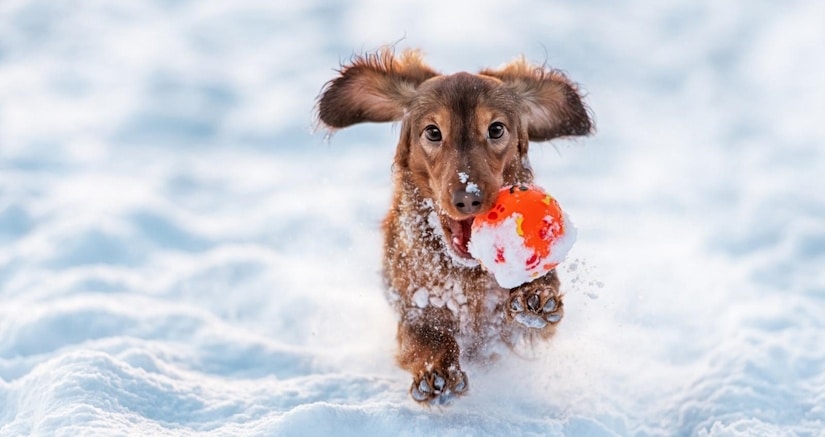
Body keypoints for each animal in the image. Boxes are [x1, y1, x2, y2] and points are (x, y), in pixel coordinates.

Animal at [316, 47, 592, 402]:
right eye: (433, 132)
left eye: (496, 129)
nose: (468, 198)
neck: (465, 274)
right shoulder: (414, 306)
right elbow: (426, 336)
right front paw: (437, 372)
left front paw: (536, 296)